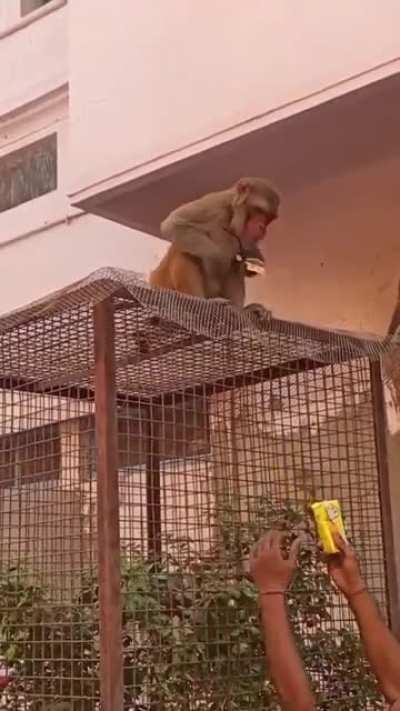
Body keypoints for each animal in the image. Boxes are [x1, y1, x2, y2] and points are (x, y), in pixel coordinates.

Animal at [149, 177, 280, 320]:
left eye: (269, 218)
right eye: (260, 211)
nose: (263, 229)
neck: (231, 217)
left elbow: (244, 260)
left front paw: (255, 256)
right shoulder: (216, 203)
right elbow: (173, 224)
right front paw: (217, 259)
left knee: (235, 265)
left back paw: (241, 309)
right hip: (166, 285)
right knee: (183, 251)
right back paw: (201, 300)